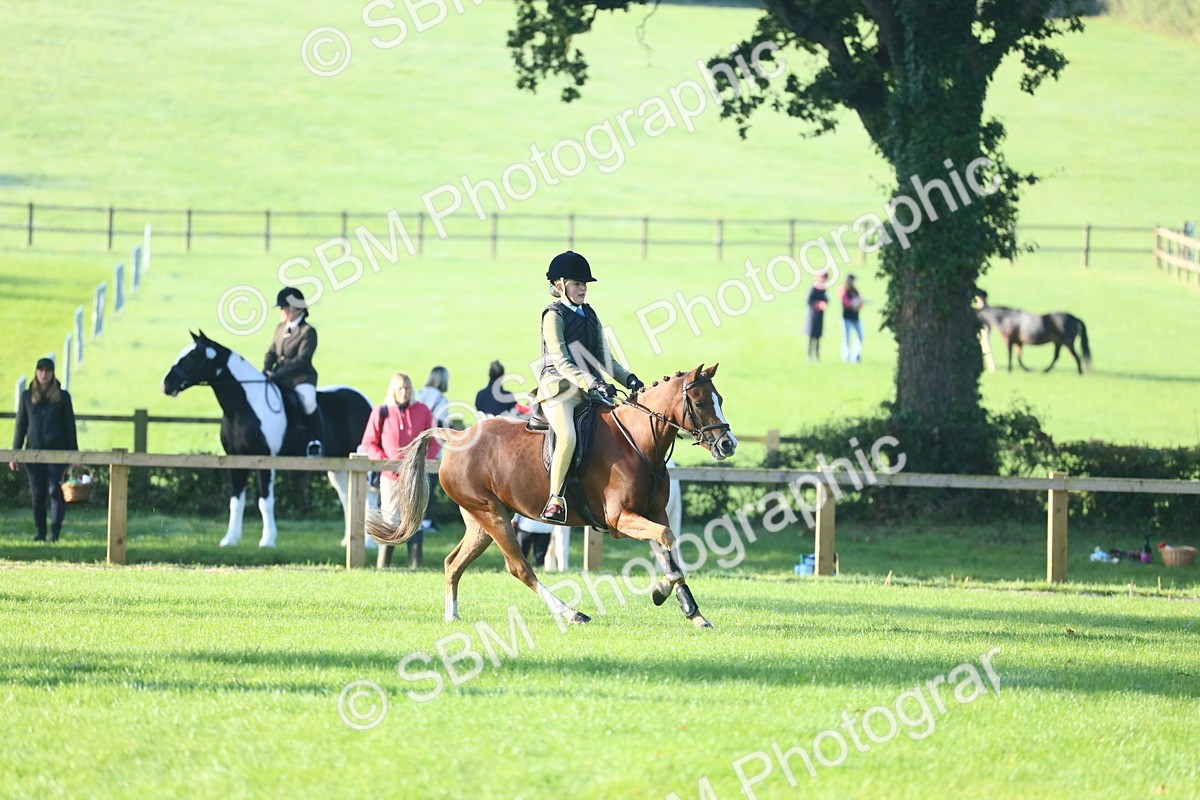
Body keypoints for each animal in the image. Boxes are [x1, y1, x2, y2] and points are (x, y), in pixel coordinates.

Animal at [161, 330, 373, 548]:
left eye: (193, 356)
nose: (166, 384)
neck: (244, 407)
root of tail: (364, 401)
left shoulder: (264, 460)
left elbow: (265, 502)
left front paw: (267, 540)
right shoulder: (235, 461)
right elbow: (236, 502)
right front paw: (230, 539)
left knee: (369, 496)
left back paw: (369, 543)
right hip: (338, 465)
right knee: (347, 497)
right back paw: (347, 541)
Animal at [366, 364, 737, 628]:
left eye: (720, 400)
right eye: (700, 402)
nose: (727, 444)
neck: (637, 440)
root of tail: (456, 436)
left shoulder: (653, 514)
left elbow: (667, 547)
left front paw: (693, 611)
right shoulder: (622, 520)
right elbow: (667, 540)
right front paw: (661, 591)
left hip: (481, 519)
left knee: (453, 563)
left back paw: (452, 615)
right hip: (493, 516)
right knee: (520, 568)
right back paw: (571, 613)